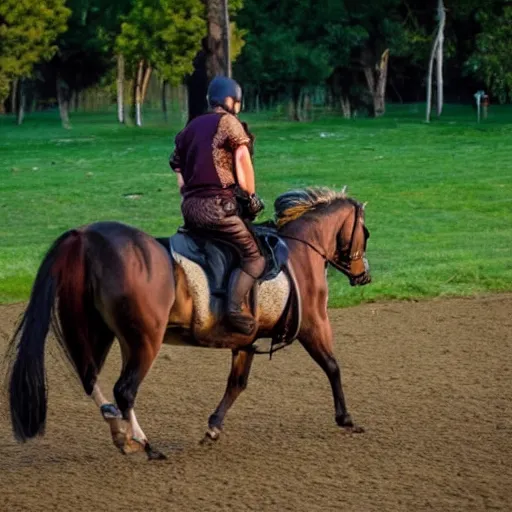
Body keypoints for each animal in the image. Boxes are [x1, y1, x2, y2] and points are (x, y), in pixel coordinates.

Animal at [7, 187, 372, 460]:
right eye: (365, 233)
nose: (364, 275)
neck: (300, 251)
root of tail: (87, 238)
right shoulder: (313, 325)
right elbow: (332, 366)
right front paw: (346, 418)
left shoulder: (245, 341)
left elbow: (236, 384)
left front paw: (213, 427)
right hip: (144, 340)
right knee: (125, 390)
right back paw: (145, 444)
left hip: (97, 332)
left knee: (91, 380)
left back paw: (120, 435)